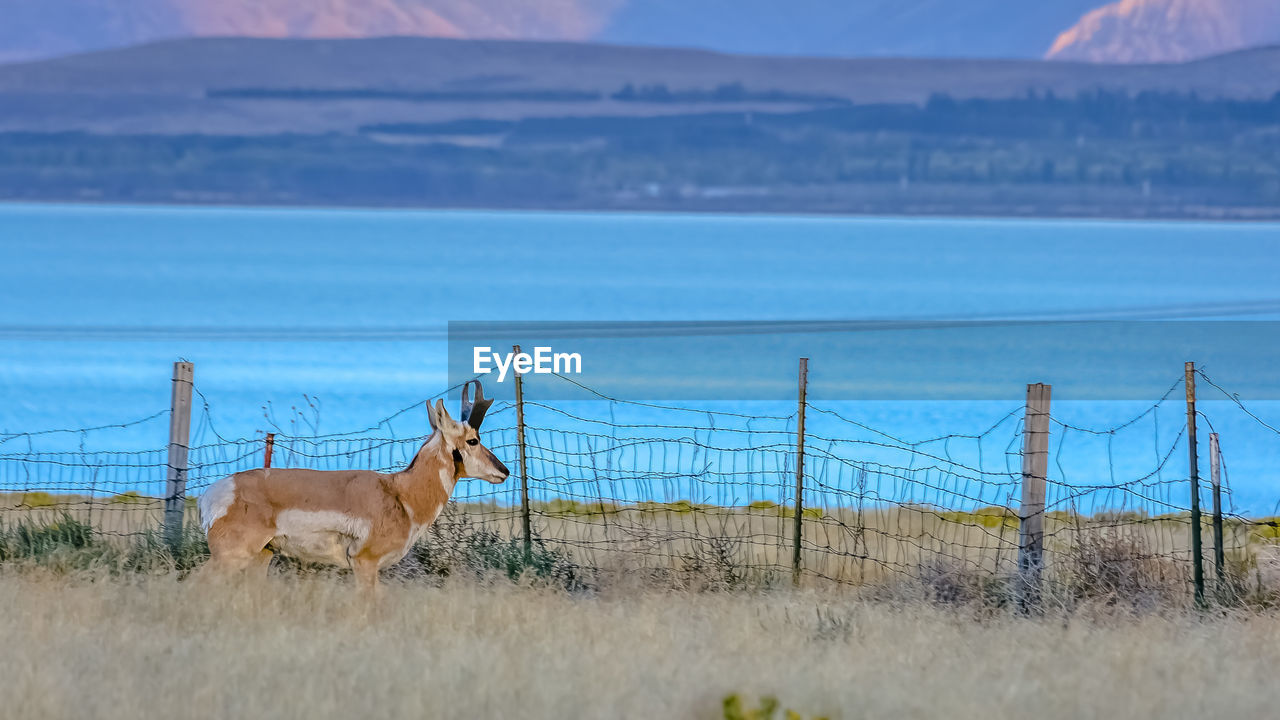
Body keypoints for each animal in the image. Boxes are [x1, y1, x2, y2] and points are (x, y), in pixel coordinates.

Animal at [197, 379, 506, 586]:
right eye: (473, 440)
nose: (504, 471)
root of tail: (215, 492)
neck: (401, 493)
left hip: (261, 557)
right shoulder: (365, 563)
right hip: (231, 557)